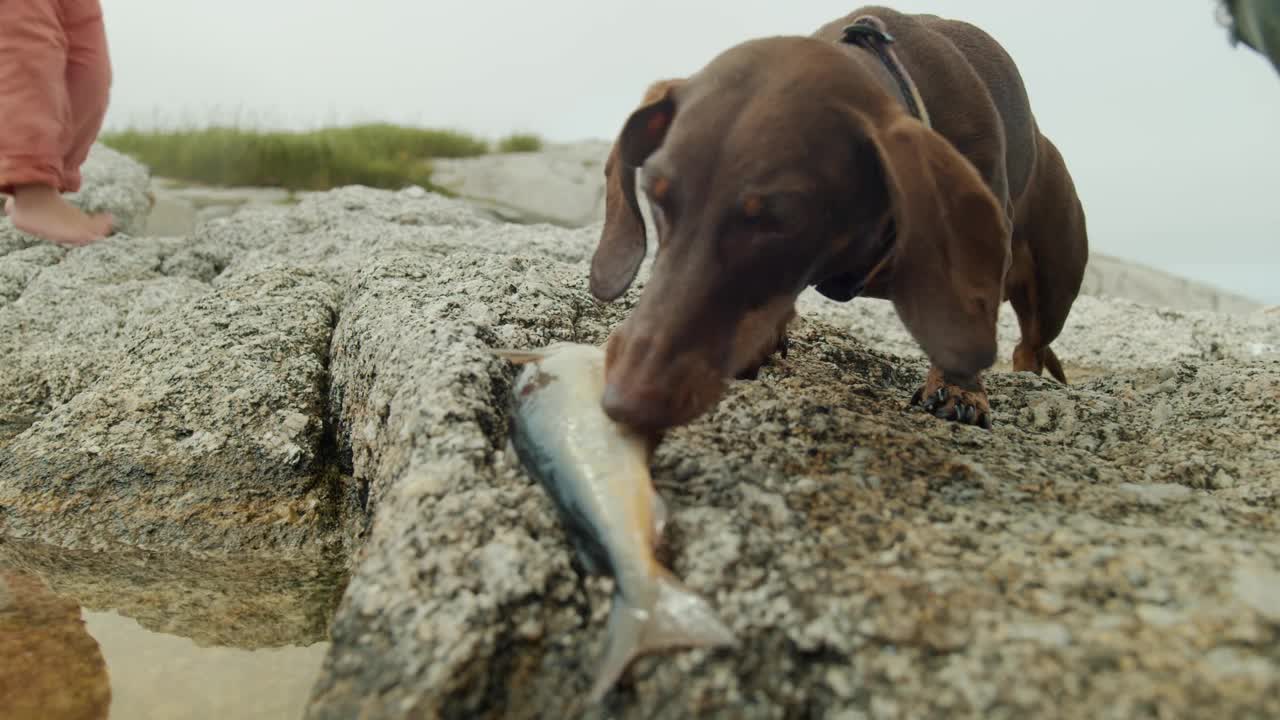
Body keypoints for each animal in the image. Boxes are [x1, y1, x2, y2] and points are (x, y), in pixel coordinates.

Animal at [588, 5, 1090, 427]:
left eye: (784, 219)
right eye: (655, 196)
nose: (623, 402)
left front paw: (958, 389)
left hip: (1051, 293)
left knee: (1031, 344)